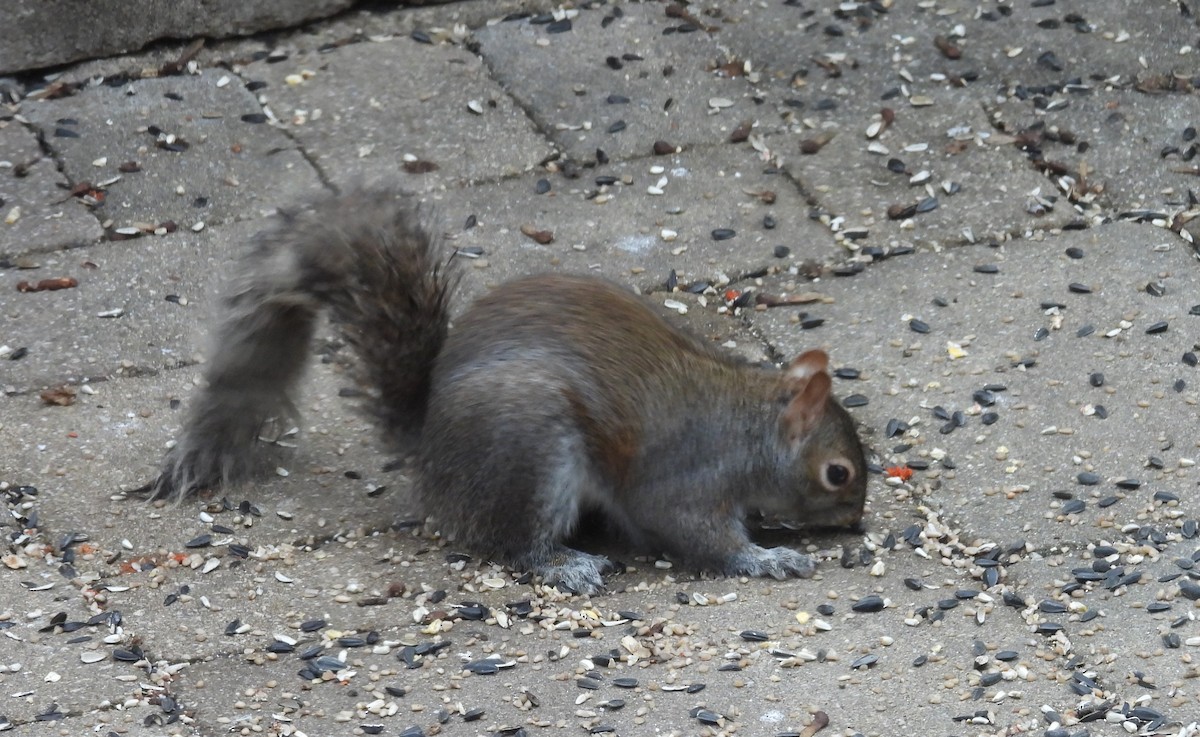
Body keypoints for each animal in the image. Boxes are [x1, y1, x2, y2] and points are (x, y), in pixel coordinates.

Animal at [151, 189, 870, 594]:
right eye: (837, 473)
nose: (856, 523)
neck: (749, 423)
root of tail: (429, 441)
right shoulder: (688, 477)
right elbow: (694, 531)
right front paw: (766, 558)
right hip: (529, 453)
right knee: (512, 543)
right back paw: (565, 565)